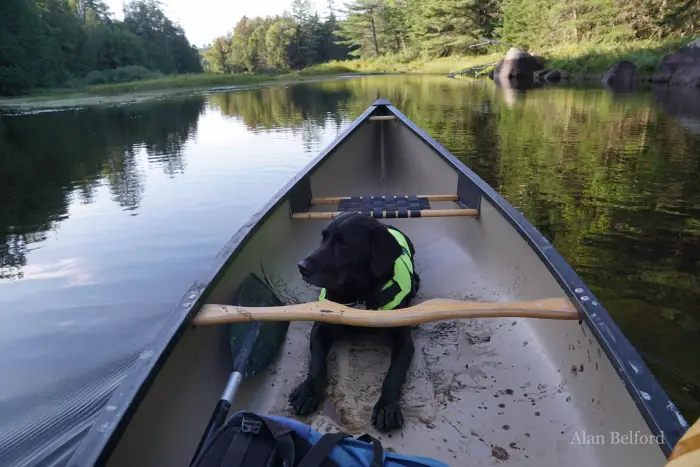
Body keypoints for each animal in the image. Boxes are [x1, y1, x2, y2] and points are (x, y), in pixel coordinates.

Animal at [288, 214, 418, 434]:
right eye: (323, 237)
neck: (359, 295)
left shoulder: (405, 342)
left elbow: (395, 372)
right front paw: (308, 390)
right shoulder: (320, 329)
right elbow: (317, 362)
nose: (301, 266)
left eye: (343, 243)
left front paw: (387, 406)